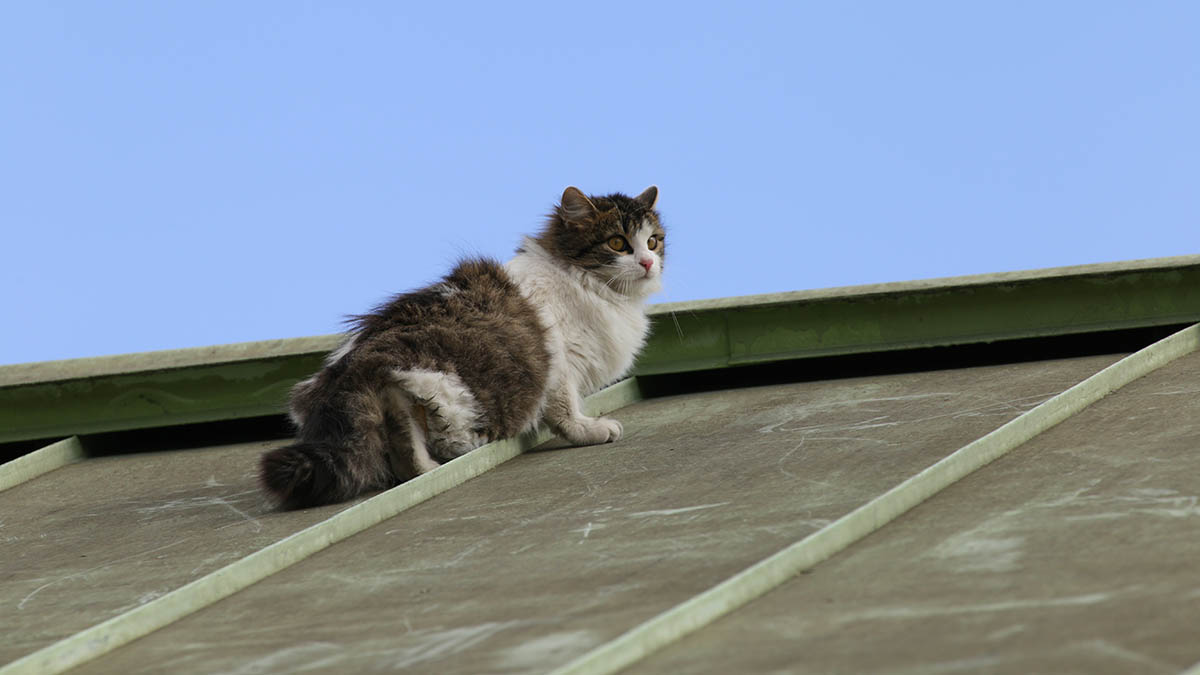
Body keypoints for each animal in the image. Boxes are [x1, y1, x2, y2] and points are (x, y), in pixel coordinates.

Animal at [259, 183, 667, 504]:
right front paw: (591, 430)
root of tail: (347, 377)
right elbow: (566, 412)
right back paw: (429, 461)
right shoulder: (559, 364)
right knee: (409, 446)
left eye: (652, 242)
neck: (587, 285)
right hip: (442, 388)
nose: (648, 263)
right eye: (617, 243)